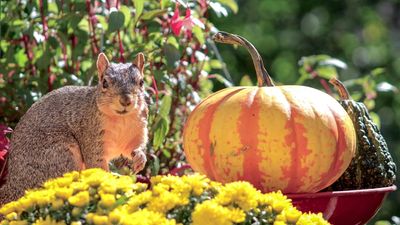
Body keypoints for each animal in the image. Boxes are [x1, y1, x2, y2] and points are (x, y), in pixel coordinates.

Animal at [0, 53, 148, 206]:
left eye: (141, 82)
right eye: (105, 83)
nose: (126, 100)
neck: (122, 120)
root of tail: (15, 184)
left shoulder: (137, 131)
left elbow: (134, 147)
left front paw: (140, 158)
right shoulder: (92, 137)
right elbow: (97, 164)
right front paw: (108, 182)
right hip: (61, 154)